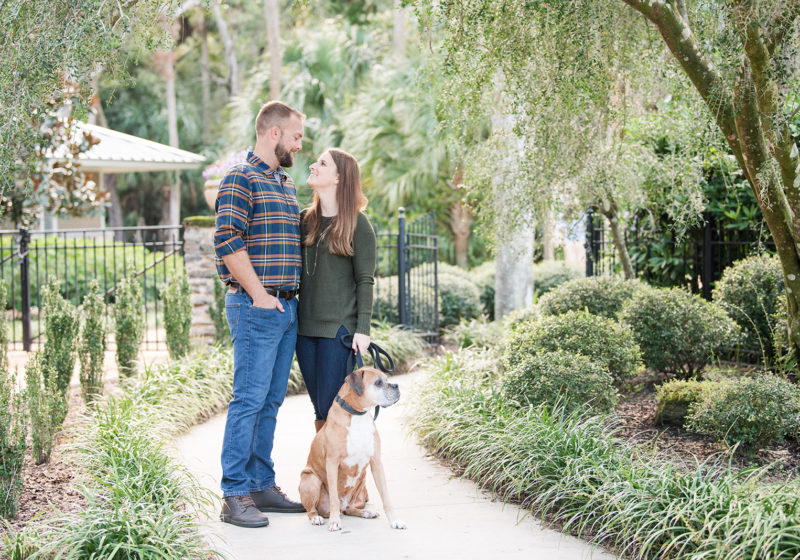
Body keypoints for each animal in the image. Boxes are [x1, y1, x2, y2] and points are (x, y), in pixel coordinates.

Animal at [298, 366, 406, 532]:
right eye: (378, 383)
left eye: (387, 379)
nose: (396, 386)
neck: (357, 414)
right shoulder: (332, 463)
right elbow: (334, 498)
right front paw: (335, 522)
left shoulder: (376, 463)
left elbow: (386, 497)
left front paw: (394, 520)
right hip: (310, 479)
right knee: (313, 510)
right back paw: (317, 517)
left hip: (362, 477)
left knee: (348, 508)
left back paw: (365, 512)